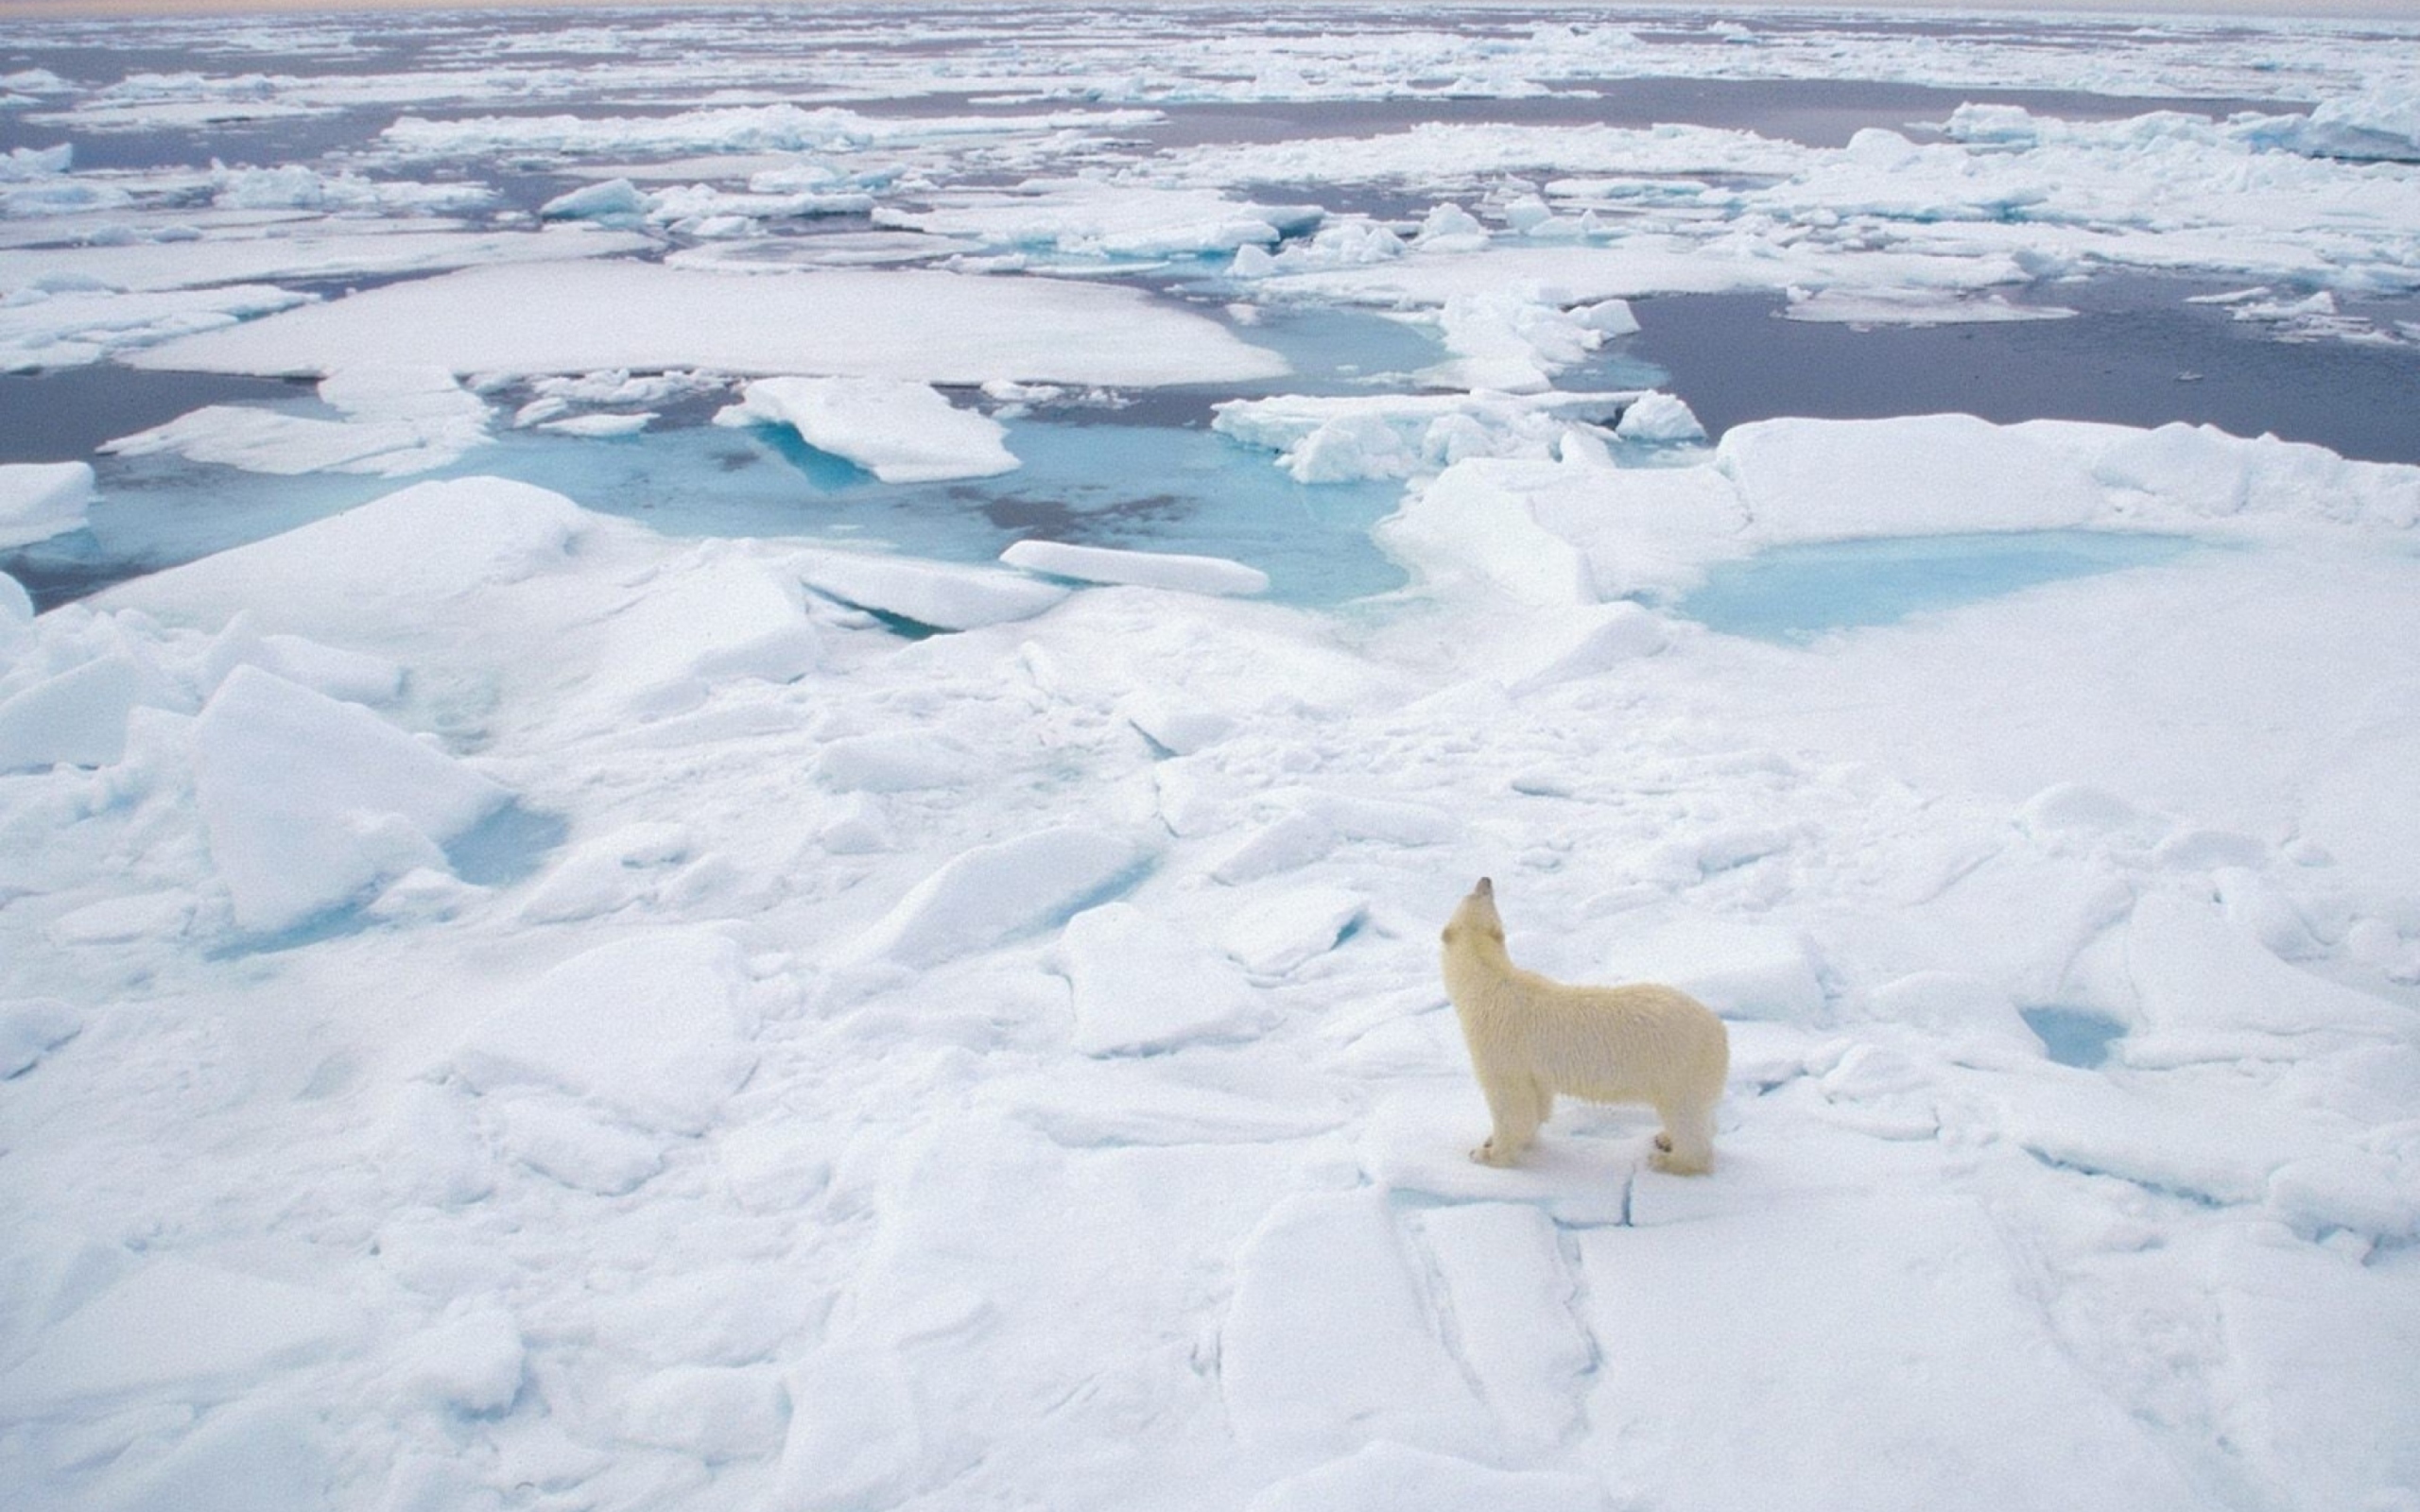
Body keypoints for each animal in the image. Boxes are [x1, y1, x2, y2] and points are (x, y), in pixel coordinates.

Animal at [1432, 870, 1722, 1180]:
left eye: (1476, 895)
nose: (1486, 879)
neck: (1489, 983)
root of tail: (1720, 1031)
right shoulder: (1534, 1069)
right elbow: (1538, 1102)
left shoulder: (1499, 1047)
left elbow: (1512, 1106)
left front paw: (1486, 1153)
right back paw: (1666, 1138)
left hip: (1679, 1068)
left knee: (1686, 1116)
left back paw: (1667, 1159)